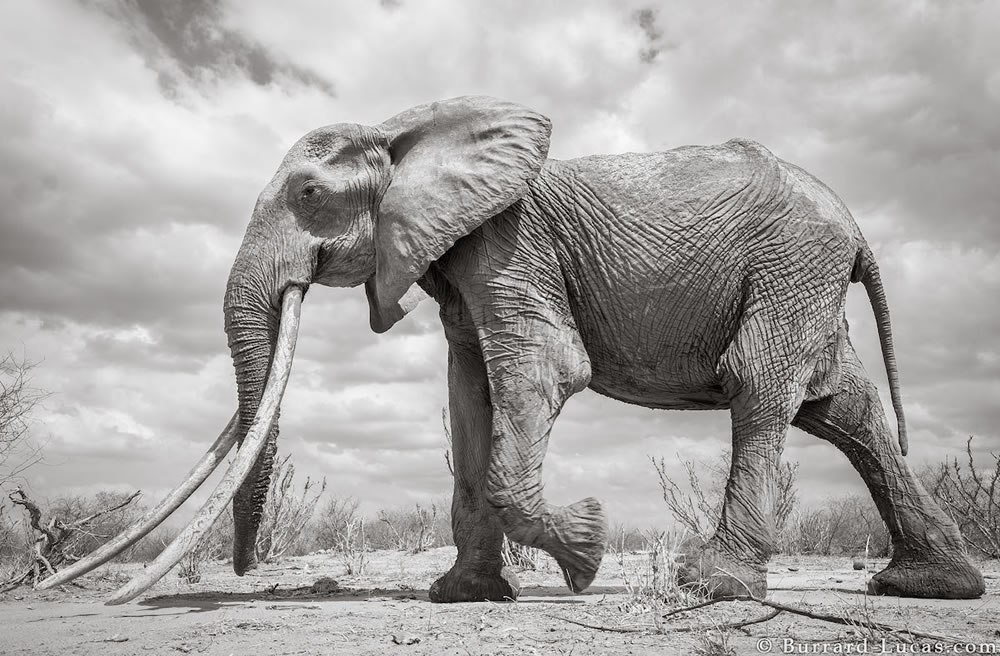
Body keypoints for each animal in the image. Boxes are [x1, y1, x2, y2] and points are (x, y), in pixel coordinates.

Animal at [47, 95, 984, 604]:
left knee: (761, 390)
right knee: (844, 411)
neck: (405, 130)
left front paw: (586, 552)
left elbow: (541, 373)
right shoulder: (463, 270)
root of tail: (856, 226)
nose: (243, 570)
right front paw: (463, 595)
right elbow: (469, 397)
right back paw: (931, 586)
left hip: (792, 266)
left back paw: (710, 586)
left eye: (309, 194)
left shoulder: (510, 244)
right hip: (804, 278)